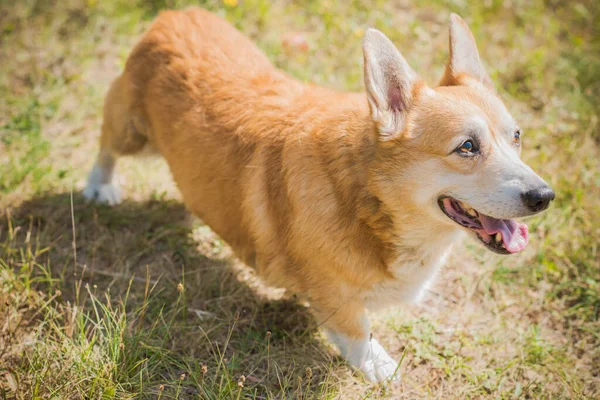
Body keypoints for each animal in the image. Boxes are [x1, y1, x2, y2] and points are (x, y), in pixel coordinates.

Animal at [83, 8, 552, 382]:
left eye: (516, 136)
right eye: (467, 147)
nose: (544, 196)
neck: (370, 199)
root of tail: (175, 15)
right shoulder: (333, 294)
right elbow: (356, 328)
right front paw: (376, 364)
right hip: (132, 133)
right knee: (106, 143)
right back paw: (98, 187)